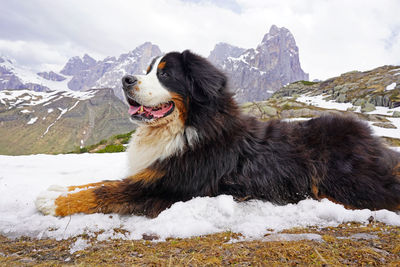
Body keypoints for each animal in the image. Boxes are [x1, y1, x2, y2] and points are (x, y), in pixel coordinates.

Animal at [36, 49, 400, 218]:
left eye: (165, 75)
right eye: (147, 70)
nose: (125, 79)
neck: (187, 127)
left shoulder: (171, 187)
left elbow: (108, 190)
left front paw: (53, 201)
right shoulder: (153, 172)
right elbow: (103, 181)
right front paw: (58, 188)